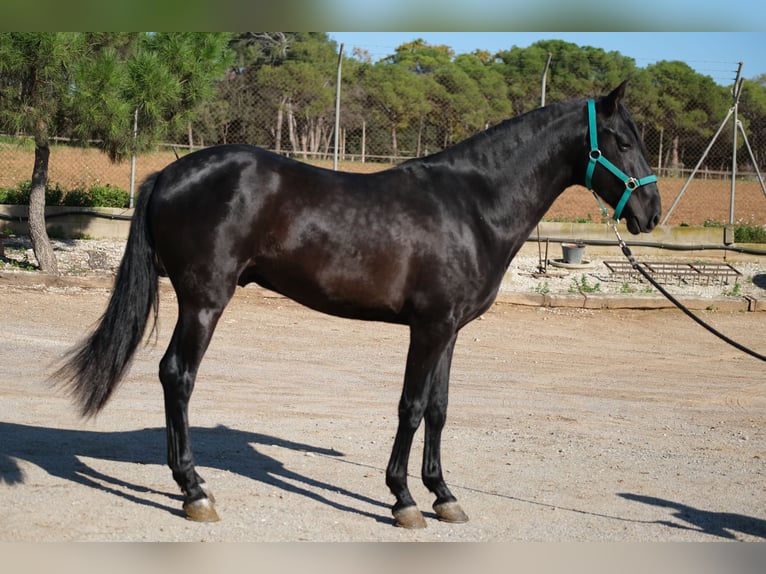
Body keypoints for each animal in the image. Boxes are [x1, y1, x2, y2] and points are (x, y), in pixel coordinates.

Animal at [54, 82, 664, 532]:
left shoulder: (450, 329)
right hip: (204, 301)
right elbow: (411, 407)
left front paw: (444, 495)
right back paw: (194, 490)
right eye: (620, 140)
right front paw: (404, 500)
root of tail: (169, 173)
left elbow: (439, 409)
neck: (472, 205)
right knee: (177, 375)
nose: (652, 212)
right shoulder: (429, 327)